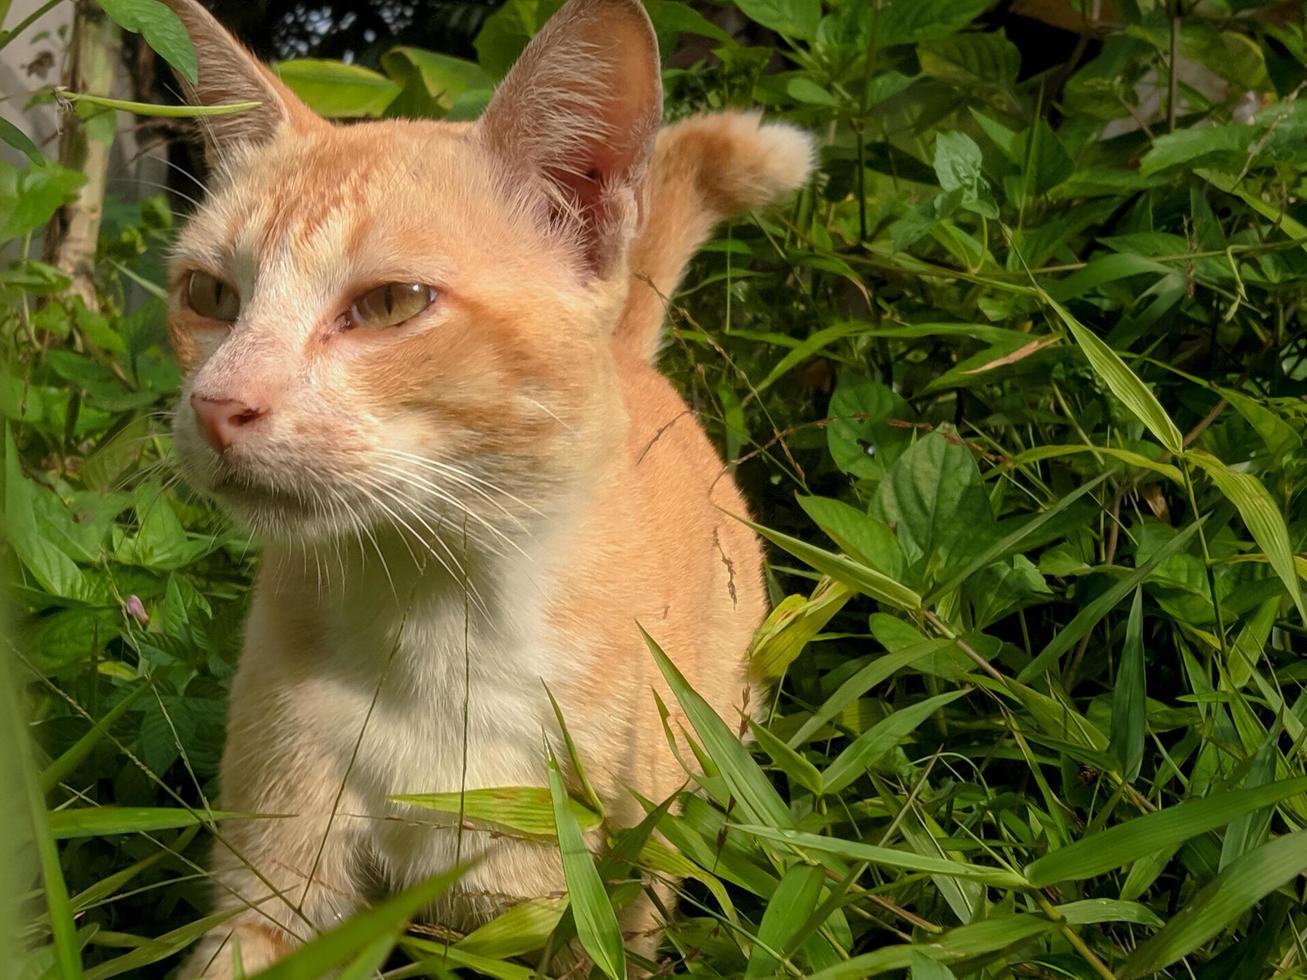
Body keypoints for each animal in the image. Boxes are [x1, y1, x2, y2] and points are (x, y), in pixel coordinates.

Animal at [160, 0, 815, 977]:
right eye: (208, 295)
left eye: (391, 304)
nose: (216, 403)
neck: (433, 623)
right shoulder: (275, 886)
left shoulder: (587, 907)